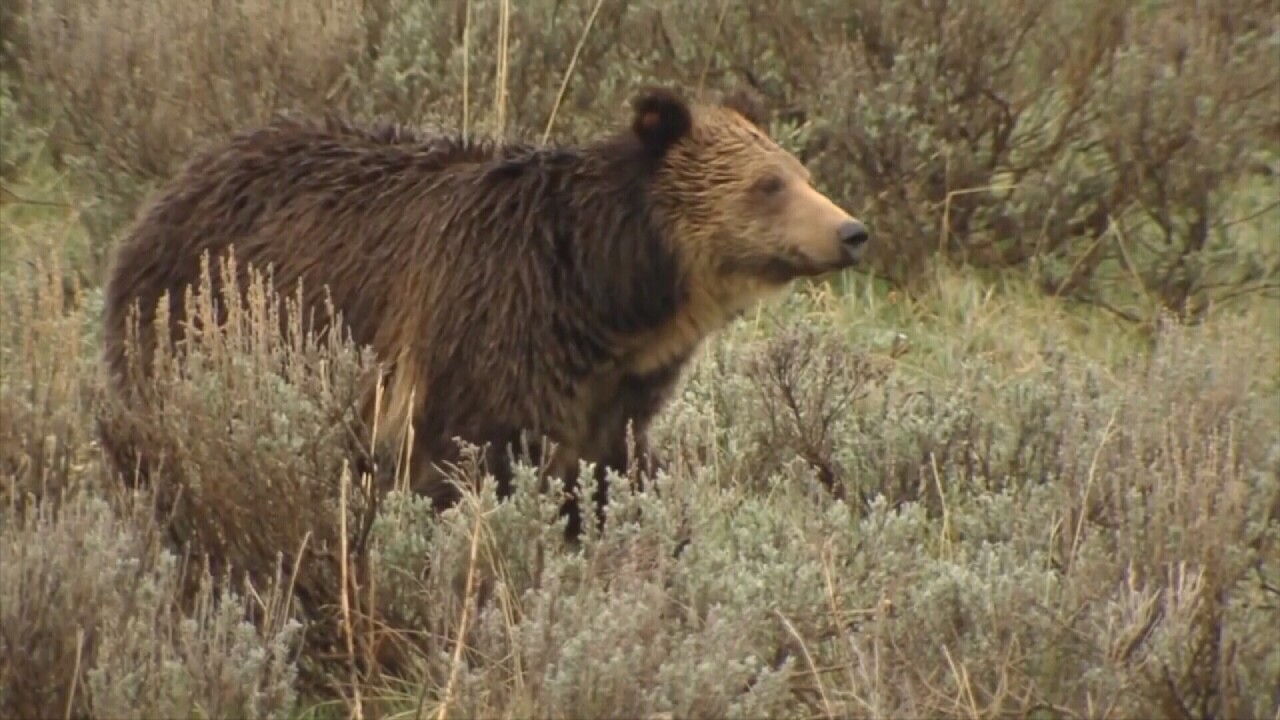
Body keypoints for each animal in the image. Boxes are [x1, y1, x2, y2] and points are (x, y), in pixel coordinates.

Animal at [100, 85, 871, 541]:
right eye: (768, 185)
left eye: (800, 172)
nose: (852, 230)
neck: (606, 295)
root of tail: (172, 184)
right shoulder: (485, 327)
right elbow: (465, 465)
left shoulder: (615, 390)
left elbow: (613, 470)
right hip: (192, 317)